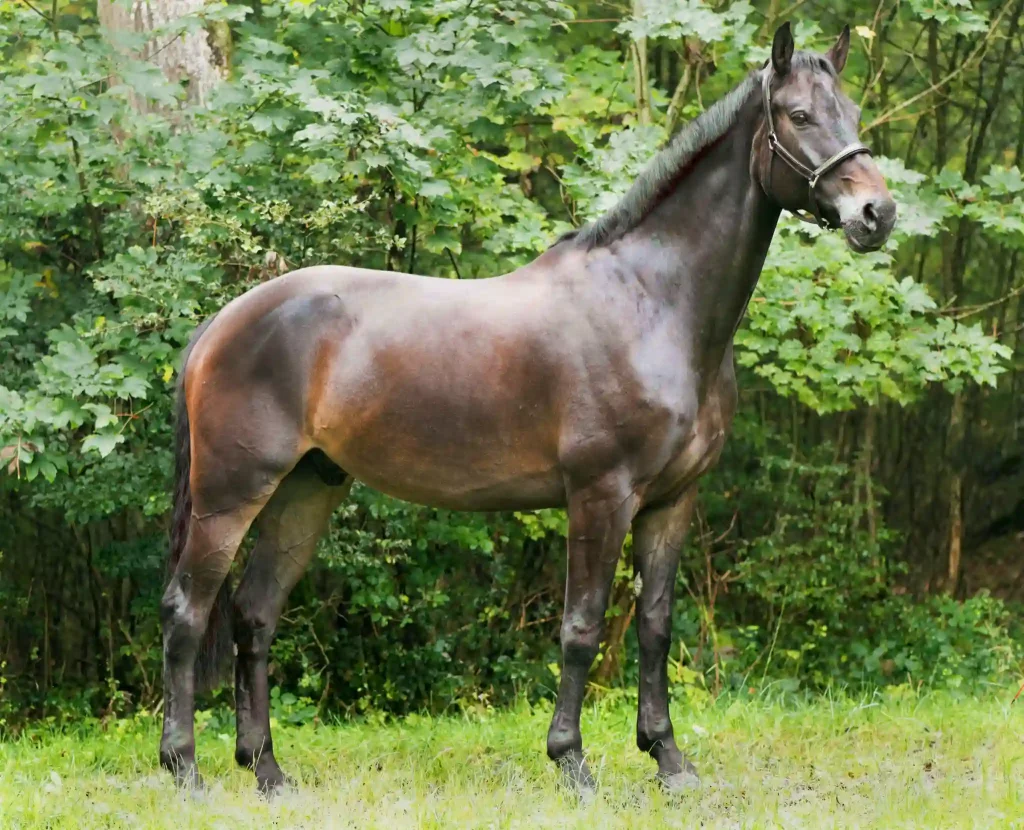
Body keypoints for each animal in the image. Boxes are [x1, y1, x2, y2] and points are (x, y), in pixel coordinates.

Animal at [159, 22, 897, 794]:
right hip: (231, 495)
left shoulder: (672, 502)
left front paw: (668, 758)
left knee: (255, 616)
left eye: (851, 112)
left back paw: (266, 769)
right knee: (188, 612)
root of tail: (221, 324)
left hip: (304, 491)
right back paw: (184, 768)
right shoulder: (601, 495)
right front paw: (571, 761)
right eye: (799, 116)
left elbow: (656, 625)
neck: (651, 301)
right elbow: (581, 626)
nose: (877, 214)